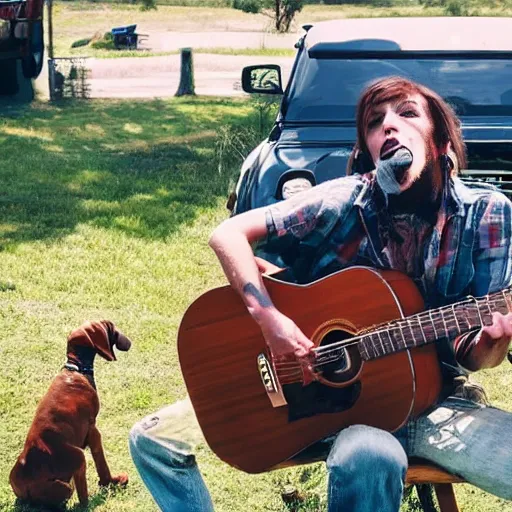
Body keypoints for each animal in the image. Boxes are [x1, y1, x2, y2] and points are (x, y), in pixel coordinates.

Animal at [10, 320, 132, 508]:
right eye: (112, 327)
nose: (130, 341)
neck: (76, 369)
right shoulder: (93, 429)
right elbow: (101, 462)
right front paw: (111, 482)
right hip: (76, 461)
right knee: (82, 501)